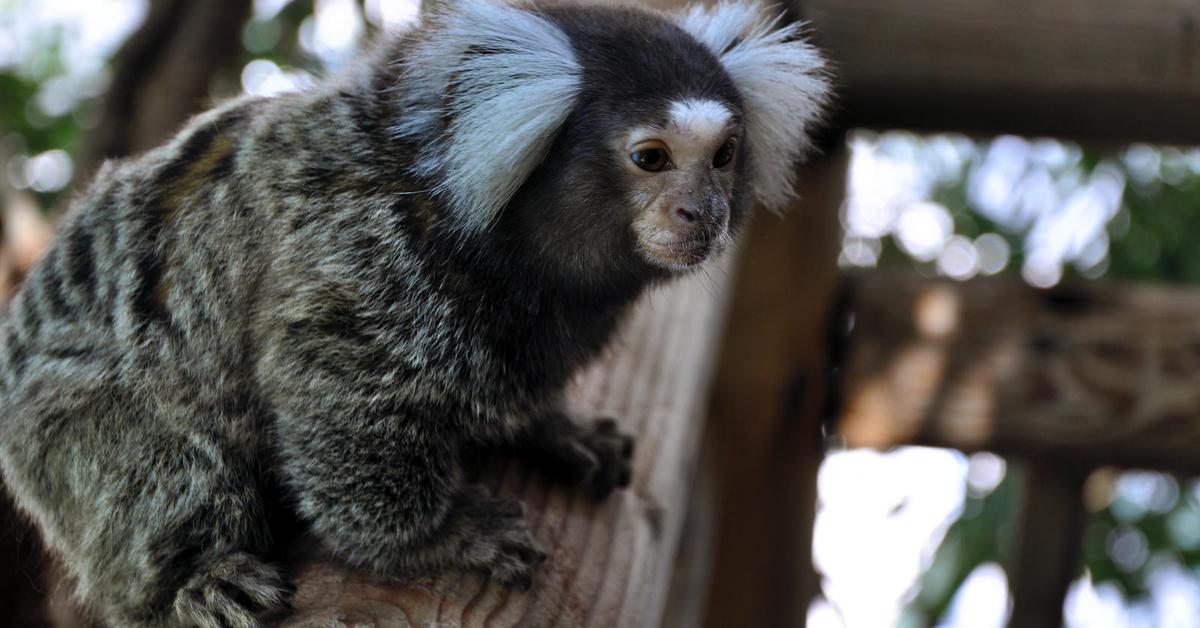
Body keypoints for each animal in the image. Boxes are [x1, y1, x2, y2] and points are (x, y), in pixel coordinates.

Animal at [0, 2, 825, 624]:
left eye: (723, 155)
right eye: (651, 158)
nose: (702, 211)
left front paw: (556, 430)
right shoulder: (367, 253)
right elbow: (332, 392)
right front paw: (437, 534)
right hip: (57, 433)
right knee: (150, 458)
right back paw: (196, 577)